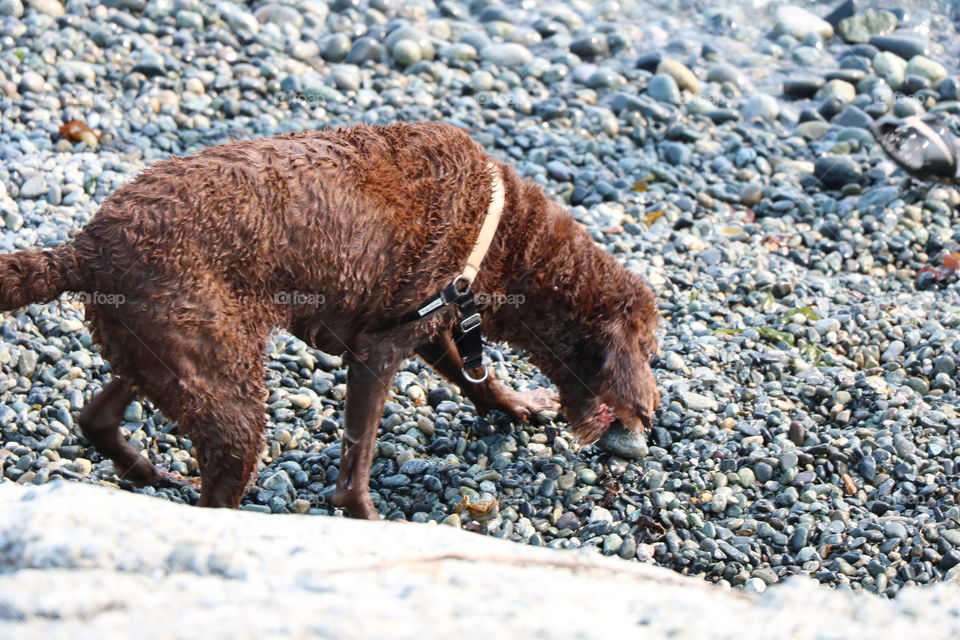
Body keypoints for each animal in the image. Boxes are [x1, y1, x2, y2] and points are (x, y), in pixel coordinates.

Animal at [0, 122, 660, 516]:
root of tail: (82, 249)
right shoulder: (380, 347)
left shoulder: (419, 325)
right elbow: (353, 477)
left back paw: (149, 474)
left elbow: (474, 376)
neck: (504, 236)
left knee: (98, 414)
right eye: (652, 350)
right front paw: (369, 521)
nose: (651, 413)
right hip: (223, 380)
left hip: (168, 351)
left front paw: (517, 405)